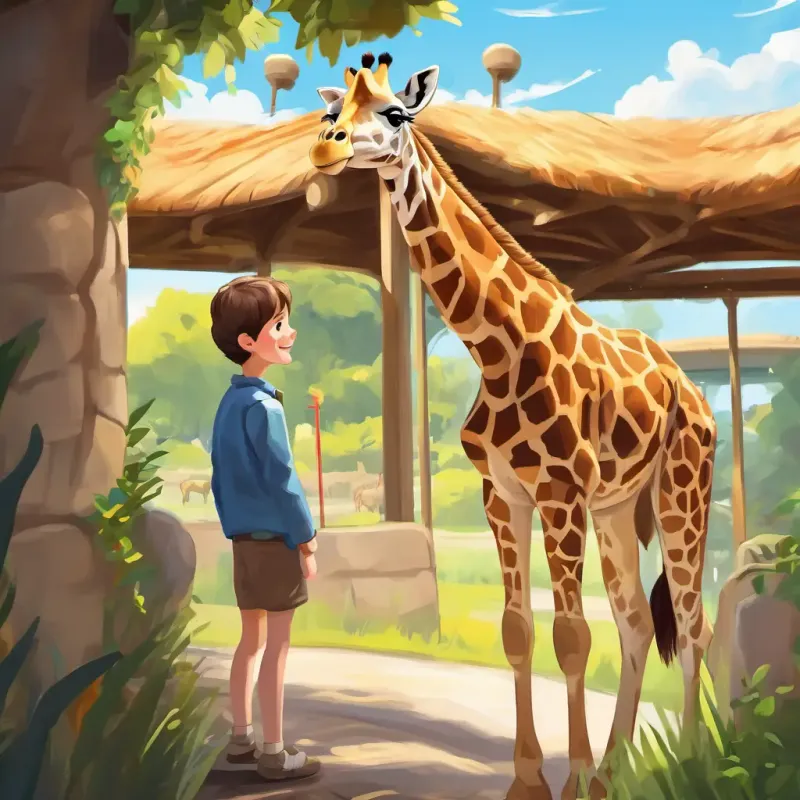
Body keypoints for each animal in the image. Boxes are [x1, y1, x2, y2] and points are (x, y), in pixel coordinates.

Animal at [308, 53, 715, 800]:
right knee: (639, 623)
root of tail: (691, 388)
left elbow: (572, 637)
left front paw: (573, 779)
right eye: (333, 110)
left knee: (694, 620)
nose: (327, 148)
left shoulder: (559, 492)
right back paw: (617, 768)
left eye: (394, 113)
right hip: (618, 509)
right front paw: (531, 780)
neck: (495, 350)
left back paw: (693, 760)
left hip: (682, 491)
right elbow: (518, 630)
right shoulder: (504, 494)